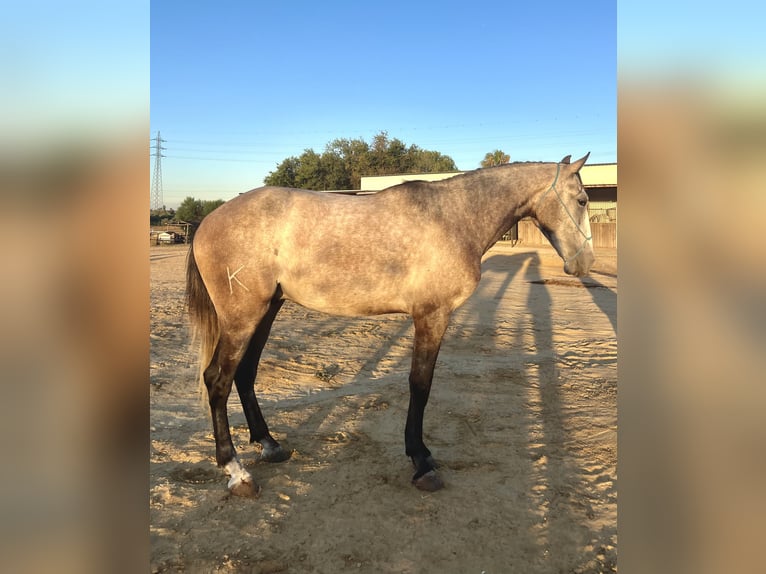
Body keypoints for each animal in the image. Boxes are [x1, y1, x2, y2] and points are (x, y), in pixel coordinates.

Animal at [184, 154, 592, 500]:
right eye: (583, 200)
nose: (584, 262)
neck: (453, 217)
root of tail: (207, 222)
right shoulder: (431, 316)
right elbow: (420, 384)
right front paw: (422, 461)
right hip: (243, 318)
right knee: (218, 380)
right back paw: (236, 471)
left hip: (266, 311)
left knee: (244, 374)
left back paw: (269, 445)